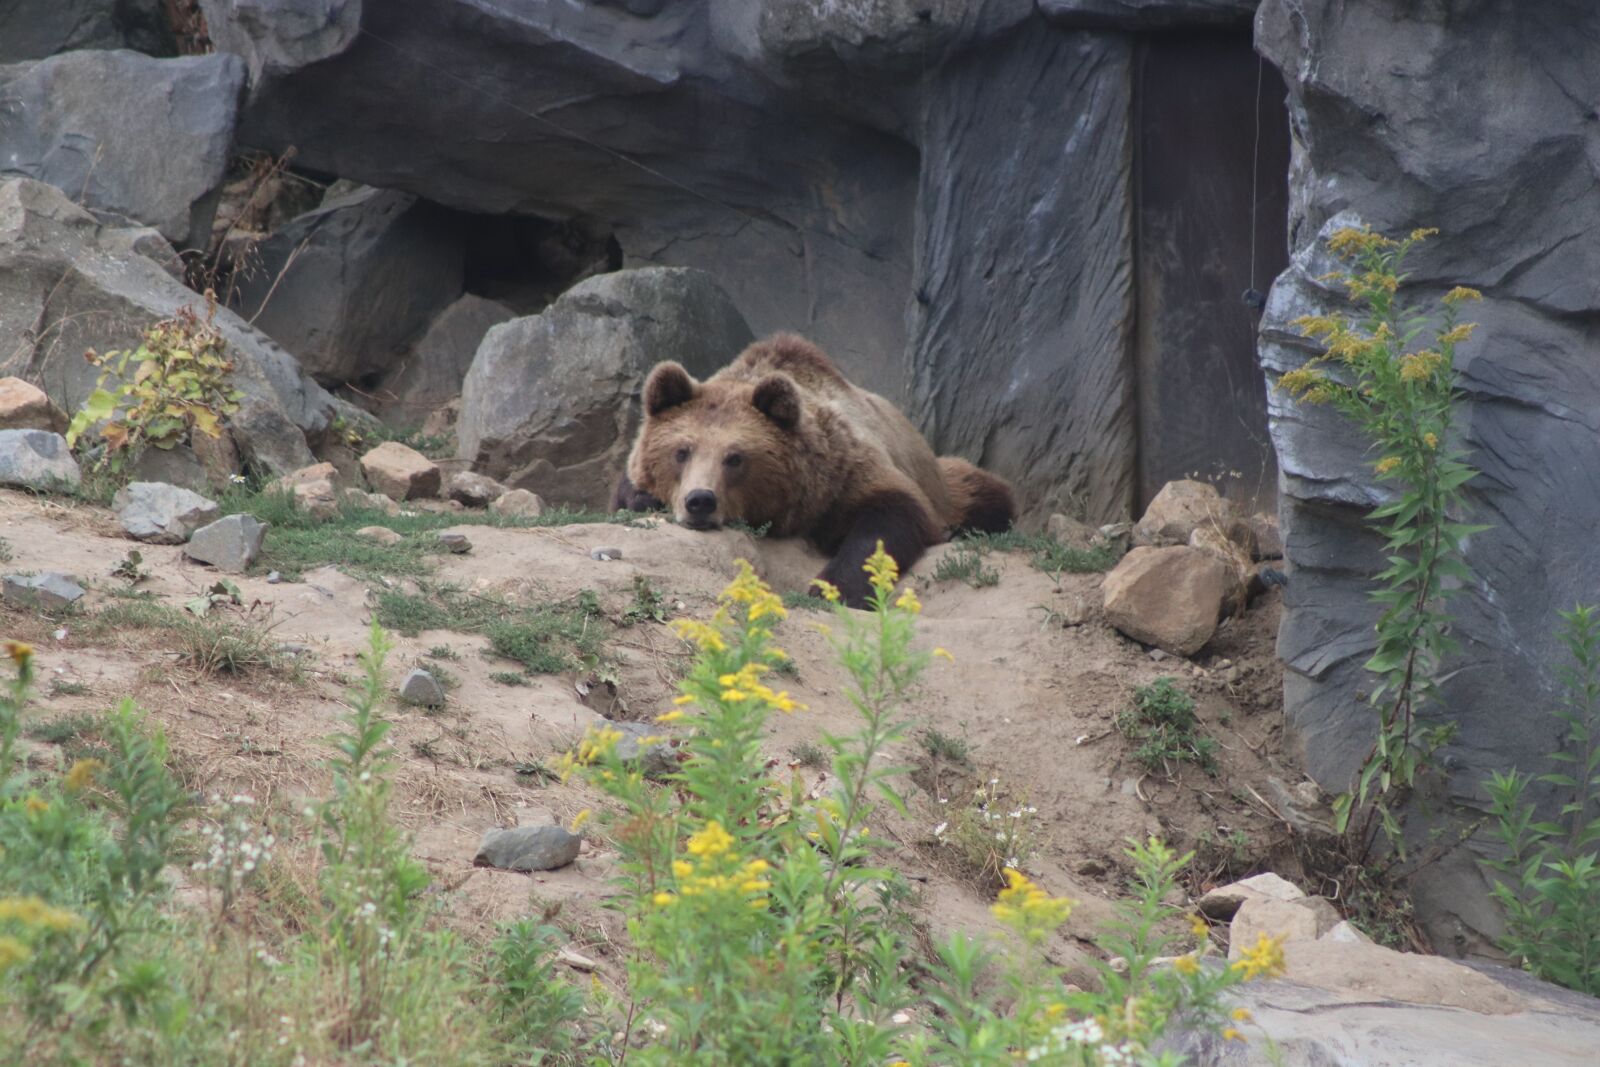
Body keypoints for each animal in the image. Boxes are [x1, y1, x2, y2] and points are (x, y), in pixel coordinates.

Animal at [612, 332, 1015, 607]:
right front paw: (644, 499)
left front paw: (832, 588)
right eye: (682, 451)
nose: (700, 501)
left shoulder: (849, 470)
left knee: (985, 491)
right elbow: (627, 490)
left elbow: (892, 514)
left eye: (735, 457)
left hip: (945, 482)